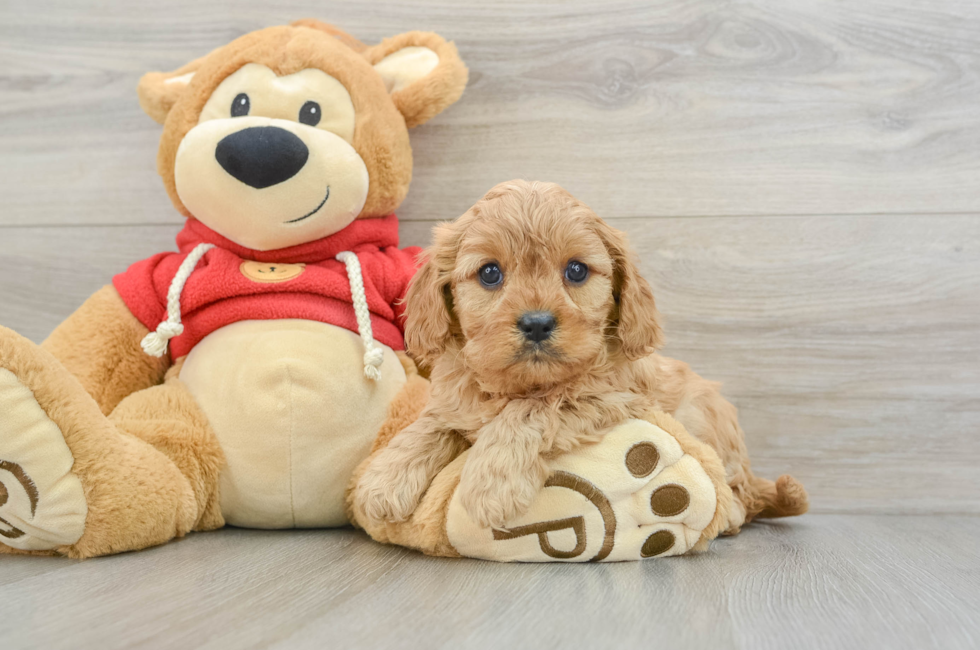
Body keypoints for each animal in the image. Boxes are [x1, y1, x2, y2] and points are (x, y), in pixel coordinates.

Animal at [356, 178, 808, 532]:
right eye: (489, 273)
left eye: (576, 270)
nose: (537, 323)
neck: (519, 384)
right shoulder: (456, 399)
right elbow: (430, 424)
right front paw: (382, 481)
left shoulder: (611, 396)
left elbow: (532, 409)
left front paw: (492, 483)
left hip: (705, 420)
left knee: (740, 492)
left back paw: (729, 512)